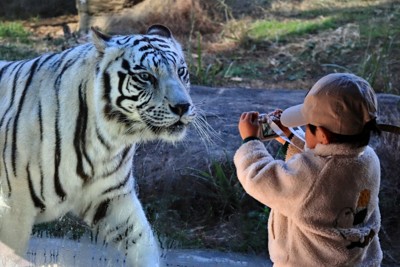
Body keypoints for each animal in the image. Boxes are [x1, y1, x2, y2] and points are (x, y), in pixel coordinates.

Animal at [0, 24, 195, 266]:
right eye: (145, 76)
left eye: (181, 71)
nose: (183, 106)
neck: (107, 141)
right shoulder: (14, 209)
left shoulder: (113, 199)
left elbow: (143, 242)